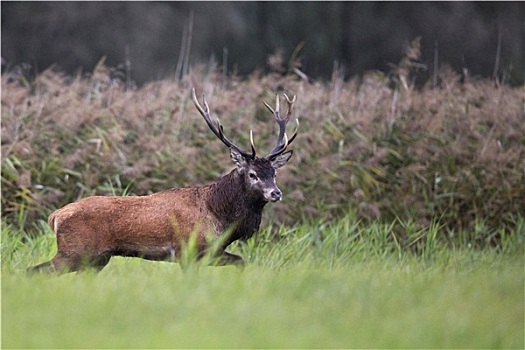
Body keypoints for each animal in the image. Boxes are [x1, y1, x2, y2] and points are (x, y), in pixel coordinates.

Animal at [29, 87, 298, 274]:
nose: (275, 193)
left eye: (274, 173)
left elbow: (242, 261)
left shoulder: (212, 252)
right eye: (253, 174)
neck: (220, 218)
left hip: (95, 260)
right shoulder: (186, 250)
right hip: (73, 252)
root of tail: (55, 216)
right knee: (33, 271)